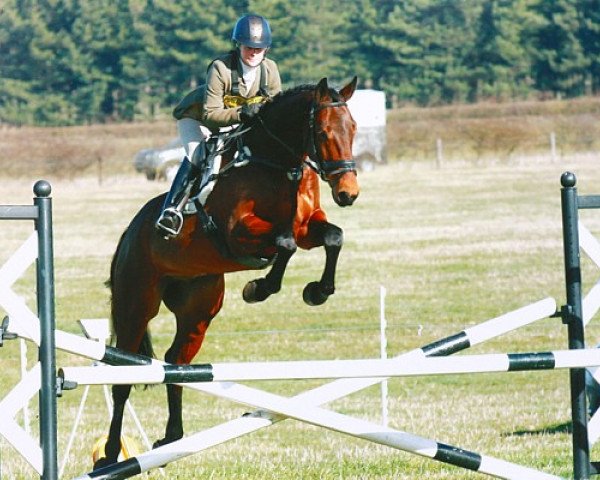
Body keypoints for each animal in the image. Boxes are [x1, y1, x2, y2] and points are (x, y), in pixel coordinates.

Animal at [92, 77, 356, 466]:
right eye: (323, 132)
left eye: (353, 128)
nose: (348, 193)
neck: (278, 163)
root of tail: (129, 233)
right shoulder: (239, 232)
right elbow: (285, 243)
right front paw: (259, 287)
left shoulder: (308, 226)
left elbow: (332, 237)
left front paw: (316, 292)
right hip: (135, 305)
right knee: (122, 380)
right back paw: (111, 454)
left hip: (198, 310)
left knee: (175, 362)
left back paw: (171, 438)